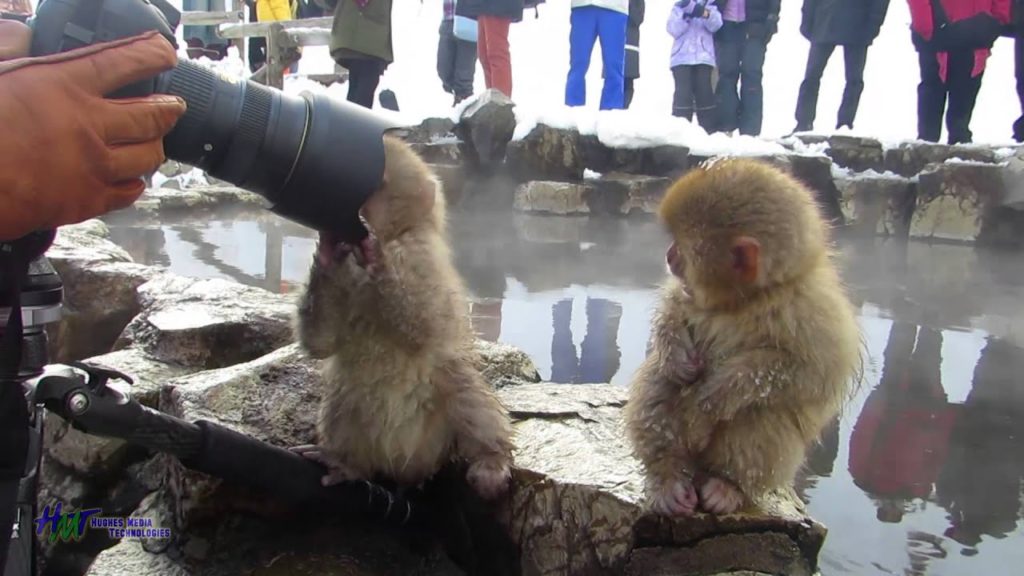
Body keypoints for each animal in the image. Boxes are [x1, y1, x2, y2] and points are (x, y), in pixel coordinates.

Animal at [290, 135, 515, 502]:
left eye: (377, 183)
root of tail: (404, 467)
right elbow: (321, 343)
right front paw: (327, 255)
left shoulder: (419, 255)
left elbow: (425, 327)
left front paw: (378, 255)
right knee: (344, 396)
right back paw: (347, 464)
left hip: (438, 432)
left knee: (463, 386)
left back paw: (491, 461)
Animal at [624, 158, 863, 517]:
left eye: (684, 250)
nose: (669, 255)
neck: (744, 300)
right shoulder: (693, 294)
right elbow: (674, 306)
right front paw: (675, 352)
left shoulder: (814, 312)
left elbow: (806, 371)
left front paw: (713, 397)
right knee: (658, 380)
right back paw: (668, 476)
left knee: (764, 412)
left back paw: (728, 486)